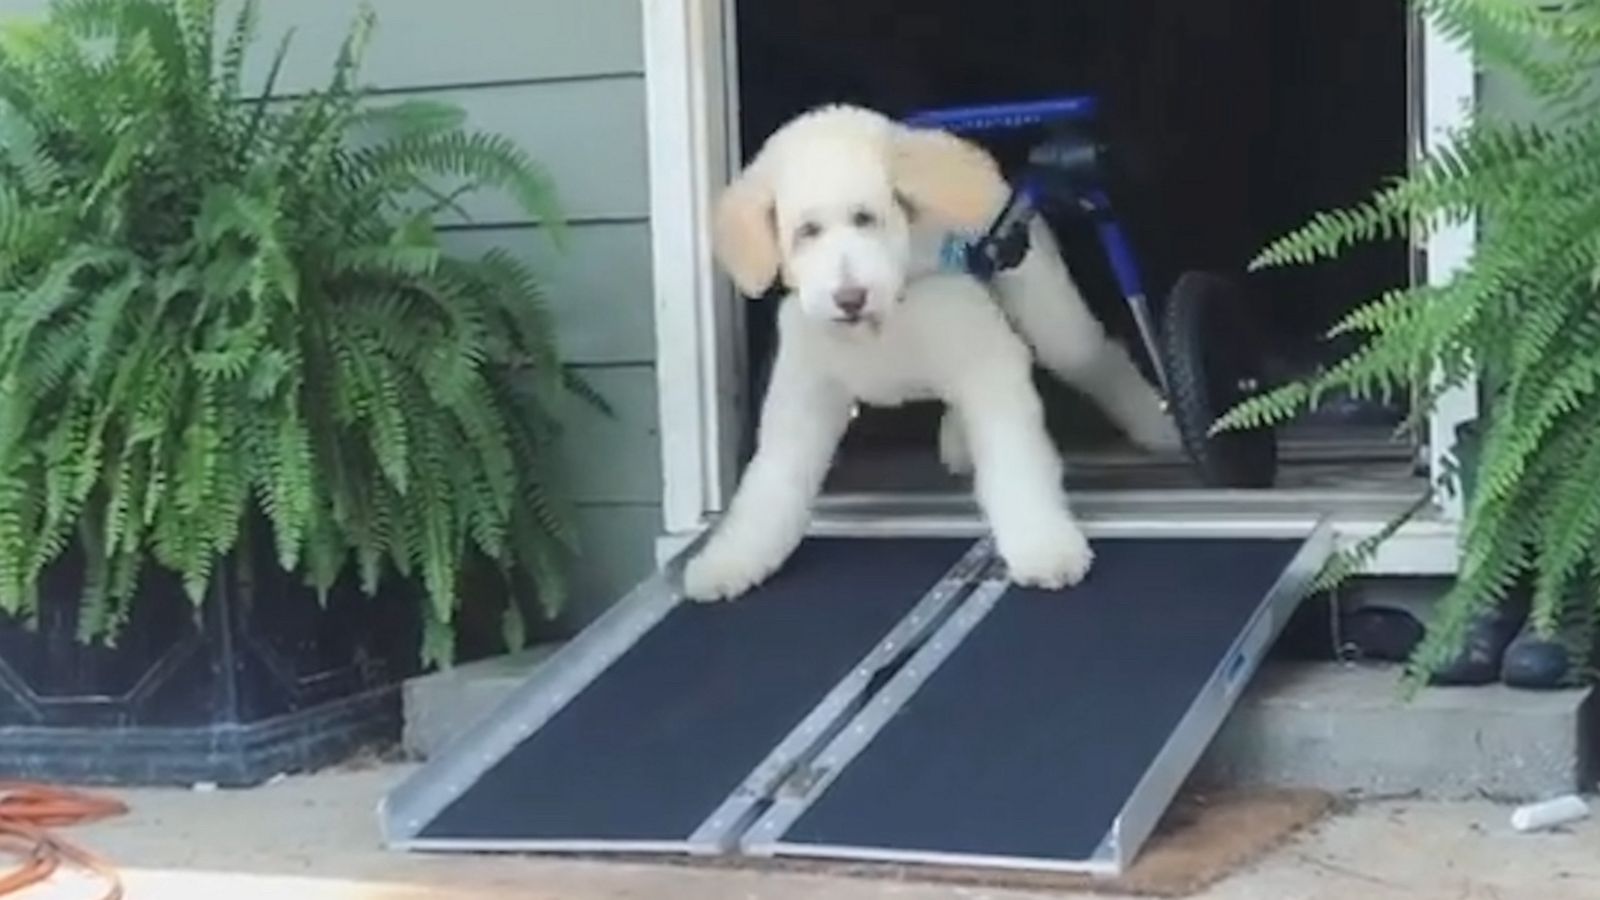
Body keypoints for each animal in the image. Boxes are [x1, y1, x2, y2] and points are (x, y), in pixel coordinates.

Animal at [675, 103, 1177, 602]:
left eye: (865, 218)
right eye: (808, 231)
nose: (849, 298)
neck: (882, 320)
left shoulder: (987, 367)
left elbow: (1017, 463)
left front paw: (1045, 547)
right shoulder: (804, 397)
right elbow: (769, 484)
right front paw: (729, 561)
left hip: (1048, 310)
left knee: (1097, 358)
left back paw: (1160, 426)